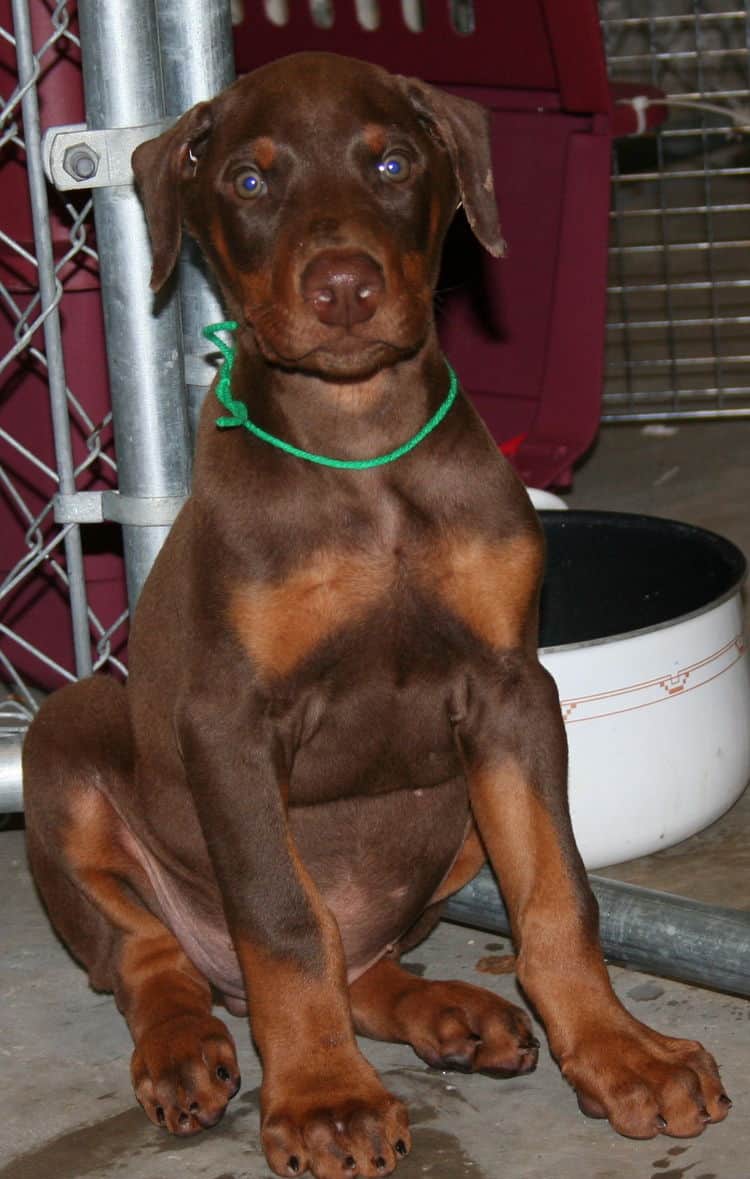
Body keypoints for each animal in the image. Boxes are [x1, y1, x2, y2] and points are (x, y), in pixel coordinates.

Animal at [21, 53, 726, 1179]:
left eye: (391, 163)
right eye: (250, 181)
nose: (342, 287)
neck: (361, 447)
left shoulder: (513, 694)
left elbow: (558, 891)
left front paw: (621, 1052)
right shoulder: (228, 721)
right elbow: (283, 917)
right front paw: (323, 1098)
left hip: (462, 810)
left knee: (361, 959)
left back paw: (450, 1013)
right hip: (68, 730)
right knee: (147, 953)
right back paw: (185, 1044)